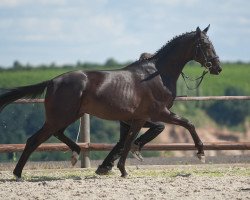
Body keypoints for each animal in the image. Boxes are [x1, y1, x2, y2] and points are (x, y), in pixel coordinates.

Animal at [0, 25, 221, 178]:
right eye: (206, 45)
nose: (218, 68)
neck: (157, 74)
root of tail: (52, 81)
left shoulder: (138, 118)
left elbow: (129, 140)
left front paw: (121, 168)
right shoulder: (160, 113)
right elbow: (188, 124)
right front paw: (201, 153)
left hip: (70, 115)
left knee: (57, 133)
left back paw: (75, 153)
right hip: (61, 116)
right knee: (34, 140)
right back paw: (18, 173)